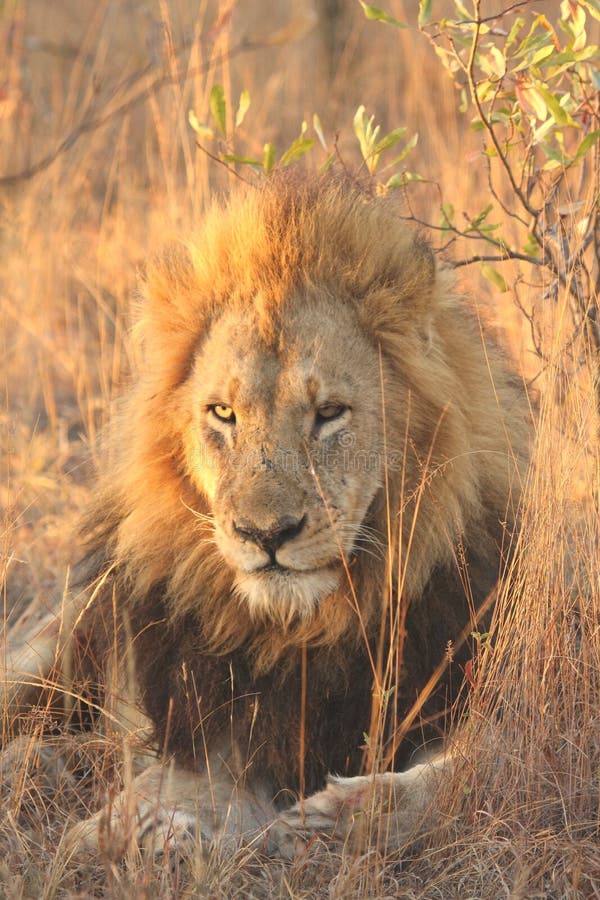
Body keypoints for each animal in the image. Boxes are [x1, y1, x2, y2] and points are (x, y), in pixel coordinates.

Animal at [0, 171, 528, 856]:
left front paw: (339, 813)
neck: (306, 631)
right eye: (223, 413)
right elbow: (170, 782)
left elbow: (481, 766)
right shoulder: (216, 723)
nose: (265, 534)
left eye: (329, 413)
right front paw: (131, 830)